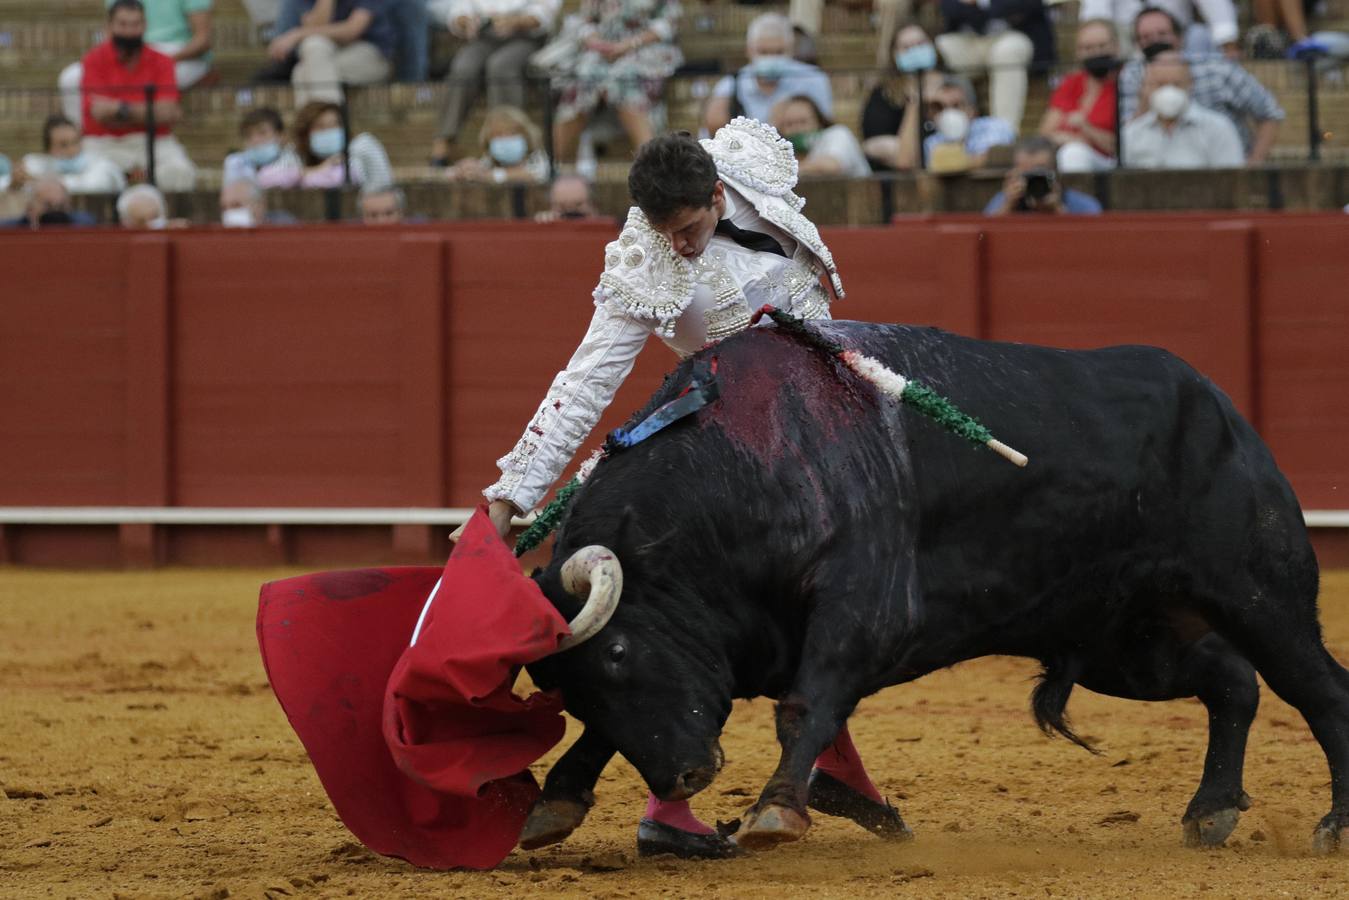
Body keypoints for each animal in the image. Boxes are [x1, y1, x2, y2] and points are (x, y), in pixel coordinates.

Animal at [518, 322, 1349, 852]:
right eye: (571, 688)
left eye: (619, 653)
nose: (687, 774)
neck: (741, 468)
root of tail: (1218, 403)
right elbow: (615, 734)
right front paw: (555, 800)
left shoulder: (861, 610)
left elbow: (805, 706)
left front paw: (776, 812)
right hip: (1129, 641)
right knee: (1231, 682)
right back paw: (1209, 812)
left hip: (1259, 596)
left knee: (1317, 688)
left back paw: (1332, 827)